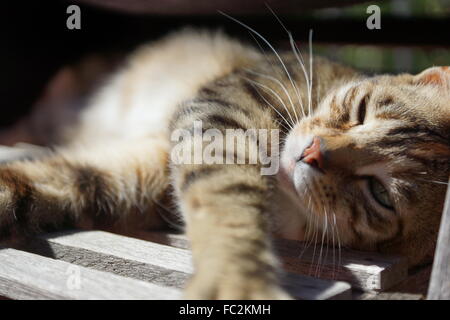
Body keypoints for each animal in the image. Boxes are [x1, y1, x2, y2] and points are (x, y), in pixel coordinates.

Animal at [0, 28, 448, 298]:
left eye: (380, 194)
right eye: (361, 111)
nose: (312, 152)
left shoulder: (137, 177)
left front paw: (237, 279)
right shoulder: (224, 110)